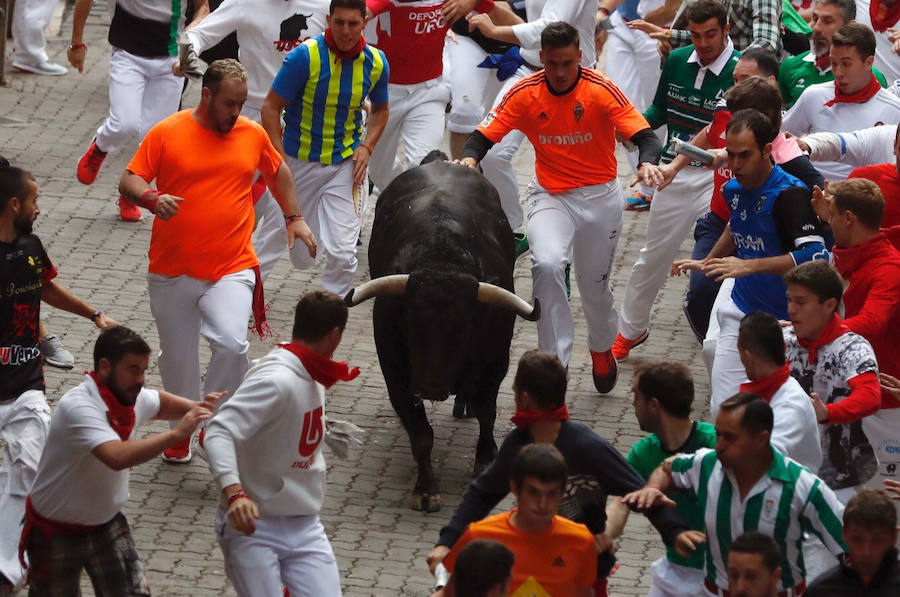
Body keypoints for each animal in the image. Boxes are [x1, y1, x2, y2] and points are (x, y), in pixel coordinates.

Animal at [344, 161, 536, 510]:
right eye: (410, 324)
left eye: (465, 328)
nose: (431, 386)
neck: (441, 258)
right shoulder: (395, 372)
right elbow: (420, 433)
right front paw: (426, 488)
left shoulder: (496, 362)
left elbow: (488, 411)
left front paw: (485, 459)